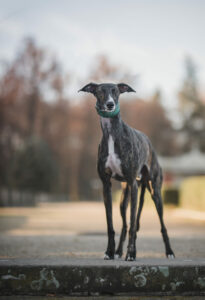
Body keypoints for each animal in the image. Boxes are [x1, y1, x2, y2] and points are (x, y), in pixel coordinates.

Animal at [78, 82, 175, 260]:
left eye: (116, 91)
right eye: (100, 91)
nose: (110, 104)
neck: (112, 134)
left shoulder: (133, 184)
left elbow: (133, 223)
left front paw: (131, 254)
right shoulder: (106, 185)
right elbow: (111, 225)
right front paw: (109, 252)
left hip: (154, 191)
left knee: (160, 224)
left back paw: (169, 252)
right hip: (124, 198)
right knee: (125, 224)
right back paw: (118, 251)